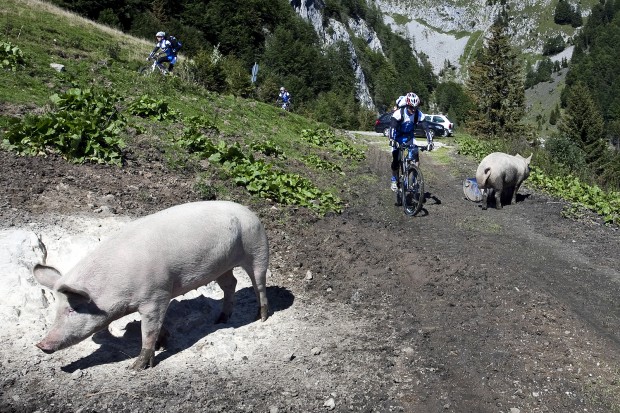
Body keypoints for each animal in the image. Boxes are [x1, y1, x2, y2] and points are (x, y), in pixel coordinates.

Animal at [32, 201, 268, 368]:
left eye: (73, 309)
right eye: (56, 309)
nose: (41, 344)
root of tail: (248, 211)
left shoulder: (156, 295)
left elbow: (148, 330)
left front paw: (136, 368)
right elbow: (157, 327)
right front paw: (165, 340)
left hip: (256, 248)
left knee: (259, 283)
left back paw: (261, 317)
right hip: (222, 266)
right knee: (231, 283)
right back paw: (221, 319)